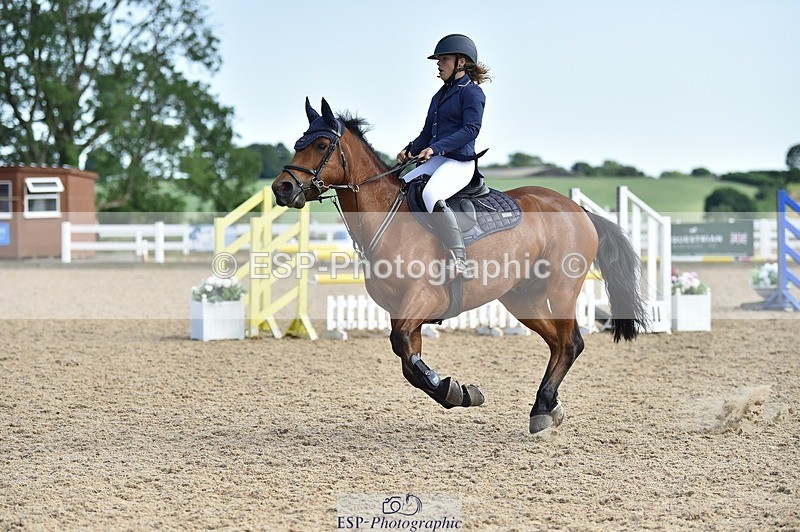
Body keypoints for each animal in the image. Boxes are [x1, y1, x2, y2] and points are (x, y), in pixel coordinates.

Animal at [272, 98, 648, 434]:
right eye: (297, 144)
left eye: (321, 144)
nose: (282, 188)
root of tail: (579, 210)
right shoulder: (401, 311)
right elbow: (408, 362)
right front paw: (458, 392)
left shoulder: (422, 299)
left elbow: (403, 349)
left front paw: (454, 390)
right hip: (522, 299)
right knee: (557, 344)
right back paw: (547, 406)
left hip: (561, 289)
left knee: (571, 343)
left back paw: (543, 407)